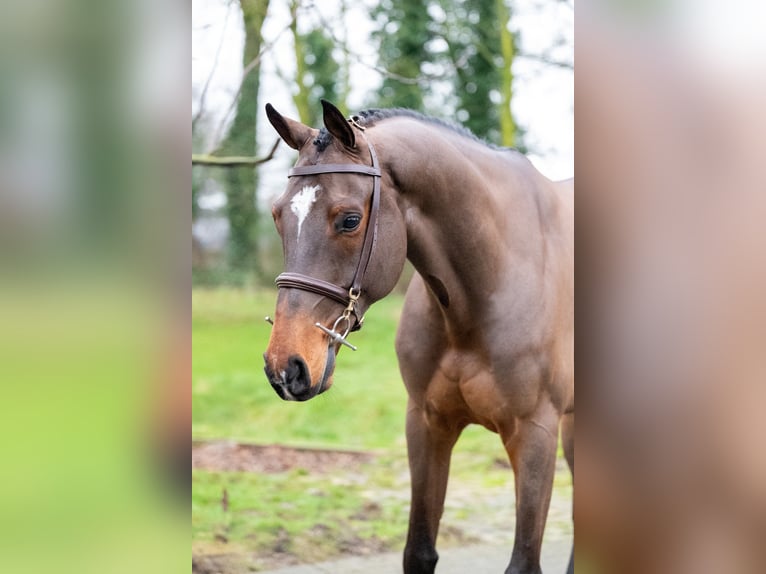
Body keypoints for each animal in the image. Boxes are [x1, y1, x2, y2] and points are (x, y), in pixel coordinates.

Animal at [264, 101, 576, 572]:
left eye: (350, 220)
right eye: (278, 215)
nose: (286, 365)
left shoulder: (536, 432)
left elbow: (523, 561)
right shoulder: (427, 424)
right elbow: (419, 550)